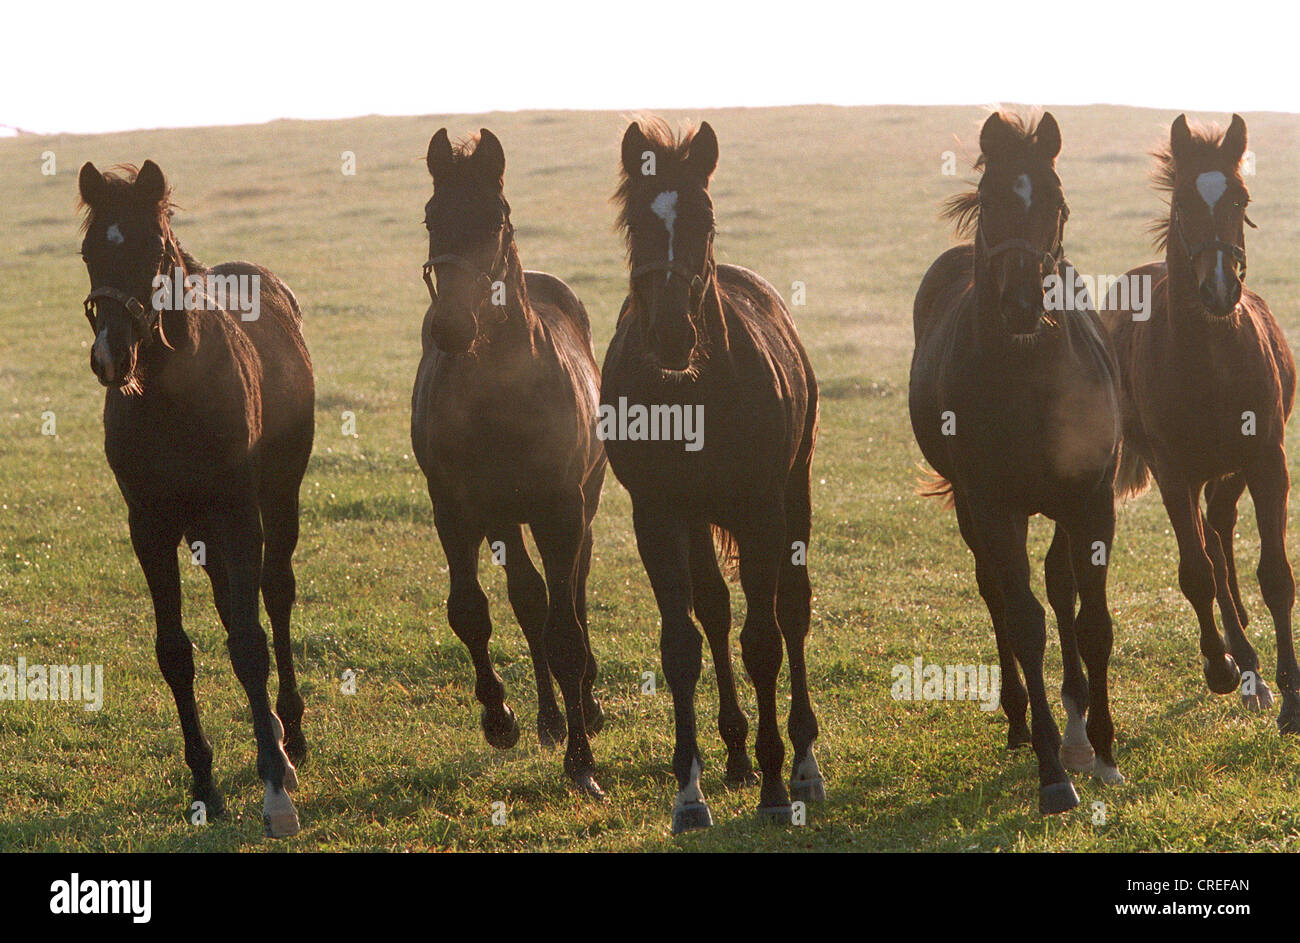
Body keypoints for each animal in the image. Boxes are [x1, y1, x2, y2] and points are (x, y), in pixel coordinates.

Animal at [76, 161, 314, 837]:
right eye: (88, 252)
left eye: (154, 250)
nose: (111, 356)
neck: (168, 398)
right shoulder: (150, 527)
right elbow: (176, 652)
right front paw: (205, 783)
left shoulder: (237, 515)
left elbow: (251, 643)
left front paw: (275, 789)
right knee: (231, 603)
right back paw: (274, 738)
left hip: (277, 498)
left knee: (274, 593)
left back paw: (291, 735)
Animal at [410, 128, 608, 796]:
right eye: (431, 216)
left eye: (495, 219)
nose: (450, 325)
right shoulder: (454, 509)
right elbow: (471, 612)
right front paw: (501, 719)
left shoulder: (559, 509)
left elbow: (566, 629)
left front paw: (582, 764)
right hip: (502, 516)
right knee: (529, 597)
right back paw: (549, 718)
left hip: (581, 502)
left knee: (571, 589)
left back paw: (587, 706)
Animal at [600, 115, 821, 832]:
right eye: (637, 220)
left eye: (704, 217)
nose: (671, 332)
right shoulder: (659, 515)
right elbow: (683, 643)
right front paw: (690, 791)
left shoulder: (761, 512)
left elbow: (765, 638)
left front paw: (778, 785)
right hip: (698, 520)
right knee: (716, 613)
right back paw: (735, 755)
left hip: (796, 488)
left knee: (792, 609)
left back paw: (802, 762)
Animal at [909, 113, 1123, 811]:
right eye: (992, 197)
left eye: (1055, 203)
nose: (1024, 304)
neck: (1030, 376)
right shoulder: (995, 505)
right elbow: (1025, 621)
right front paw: (1054, 773)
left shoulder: (1091, 500)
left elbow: (1092, 619)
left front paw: (1102, 748)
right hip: (977, 512)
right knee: (998, 593)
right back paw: (1020, 719)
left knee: (1059, 586)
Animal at [1102, 113, 1294, 733]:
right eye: (1183, 201)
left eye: (1240, 198)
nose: (1219, 288)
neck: (1212, 359)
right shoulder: (1173, 470)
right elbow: (1195, 572)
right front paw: (1221, 666)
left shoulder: (1265, 458)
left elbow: (1275, 575)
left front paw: (1292, 696)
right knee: (1210, 545)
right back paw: (1242, 663)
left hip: (1229, 470)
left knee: (1221, 530)